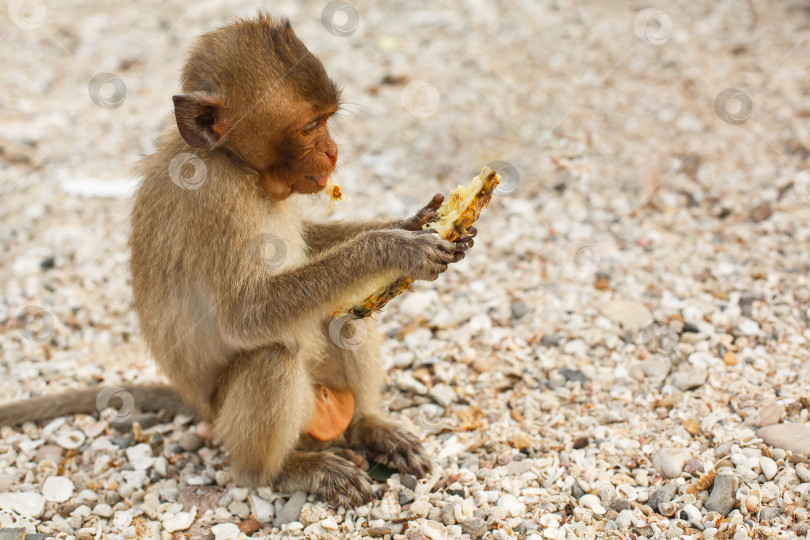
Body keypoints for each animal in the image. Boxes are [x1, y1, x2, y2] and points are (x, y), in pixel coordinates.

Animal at [0, 14, 474, 508]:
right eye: (310, 126)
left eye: (328, 120)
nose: (333, 151)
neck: (234, 163)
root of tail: (201, 407)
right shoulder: (214, 199)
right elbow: (245, 315)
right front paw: (392, 247)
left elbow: (309, 242)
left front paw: (415, 221)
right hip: (229, 417)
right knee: (273, 357)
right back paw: (284, 471)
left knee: (347, 317)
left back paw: (368, 426)